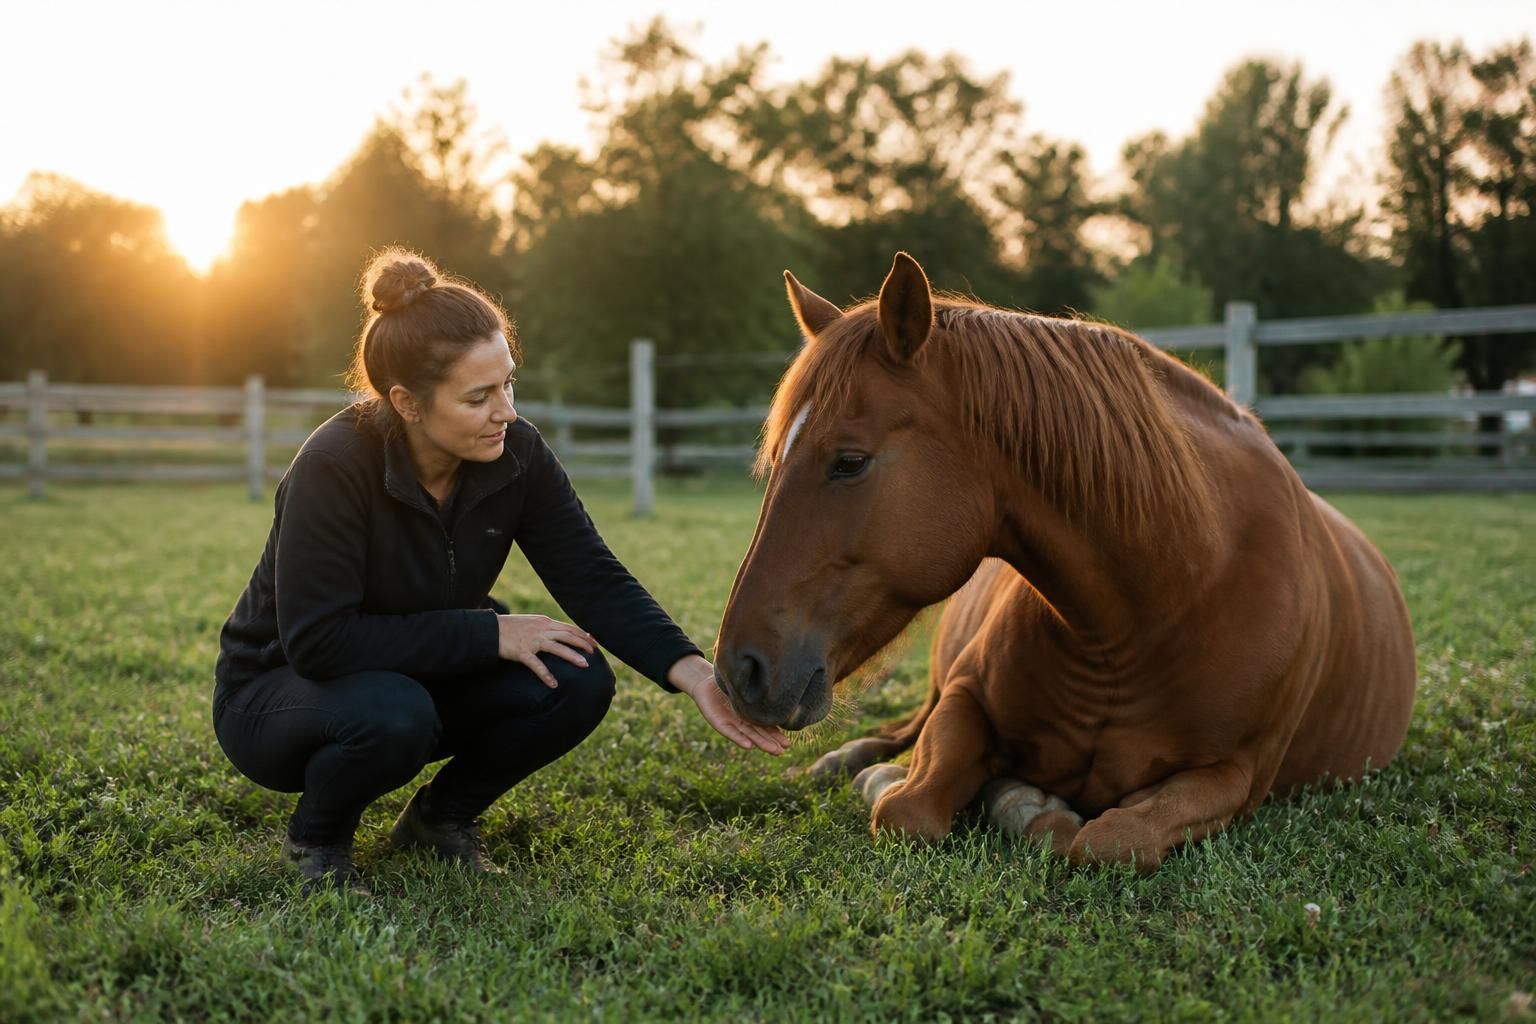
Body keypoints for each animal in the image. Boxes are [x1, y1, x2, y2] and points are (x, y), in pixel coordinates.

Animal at [713, 252, 1416, 871]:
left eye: (849, 461)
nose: (738, 670)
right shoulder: (964, 696)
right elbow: (909, 808)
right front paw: (994, 793)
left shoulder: (1237, 777)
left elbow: (1109, 840)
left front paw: (1029, 803)